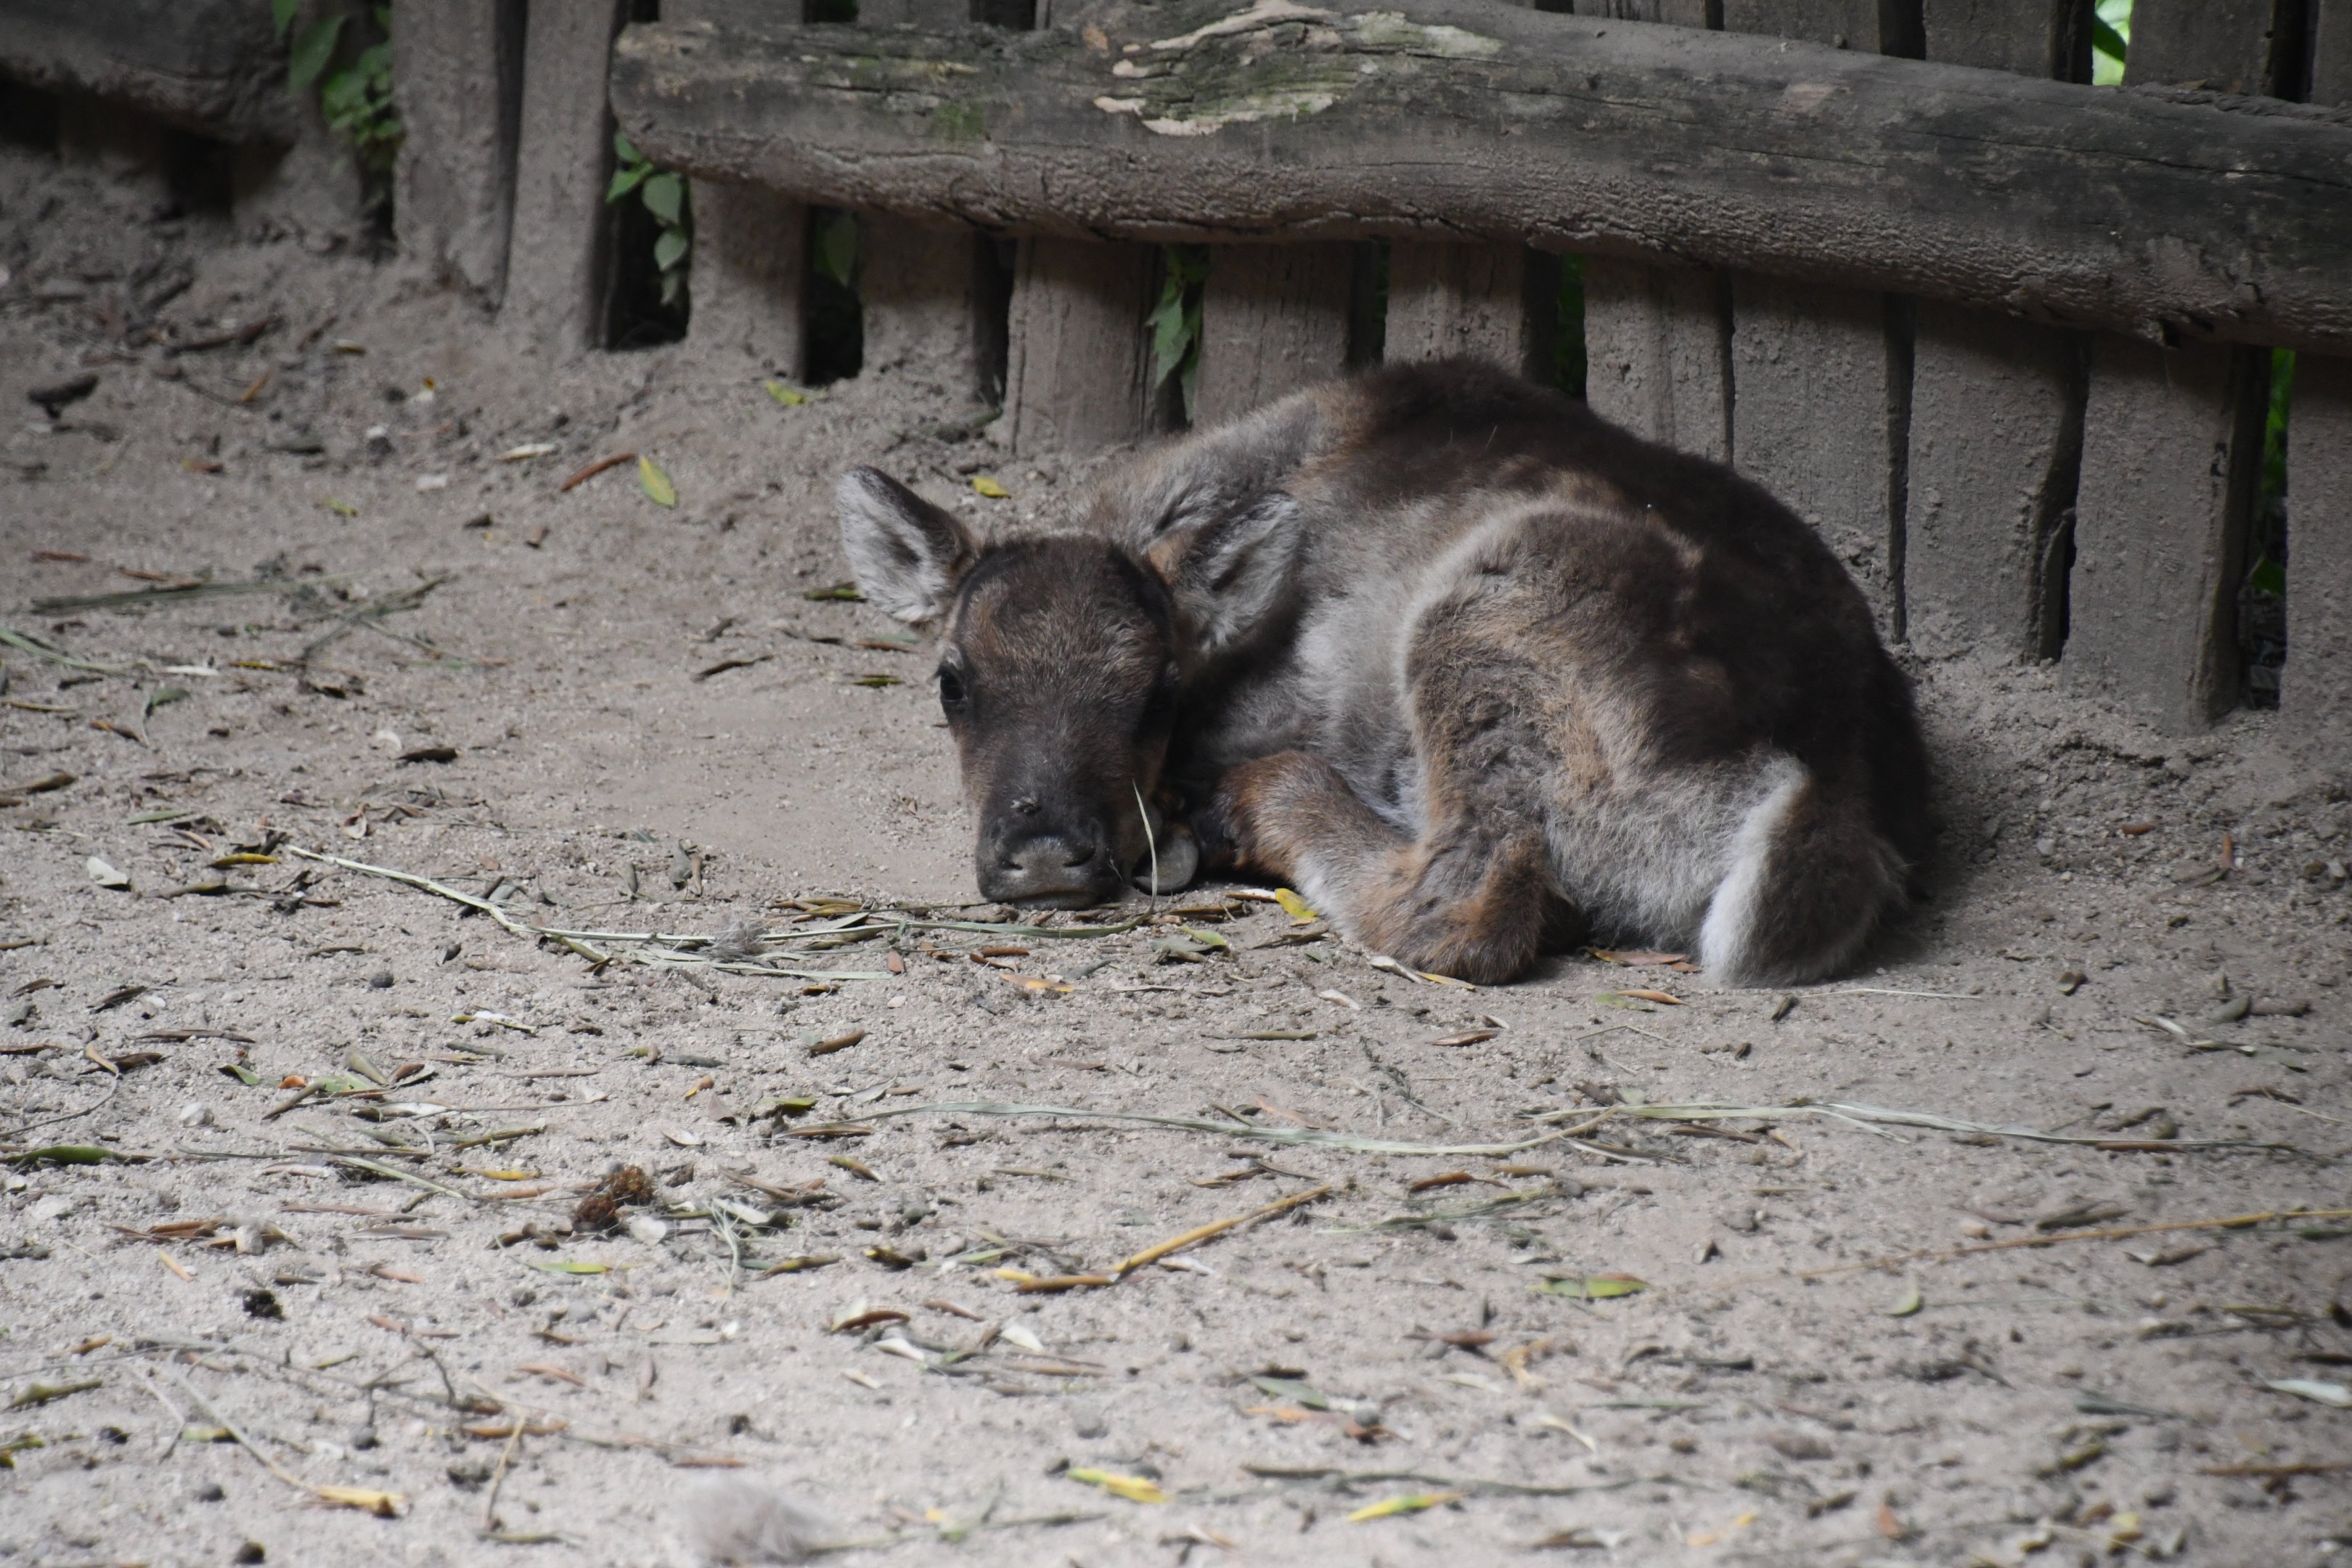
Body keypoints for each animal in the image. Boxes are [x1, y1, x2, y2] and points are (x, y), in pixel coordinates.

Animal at [836, 358, 1932, 986]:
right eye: (953, 683)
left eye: (1159, 693)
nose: (1047, 850)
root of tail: (1831, 782)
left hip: (1472, 628)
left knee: (1469, 902)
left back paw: (1242, 811)